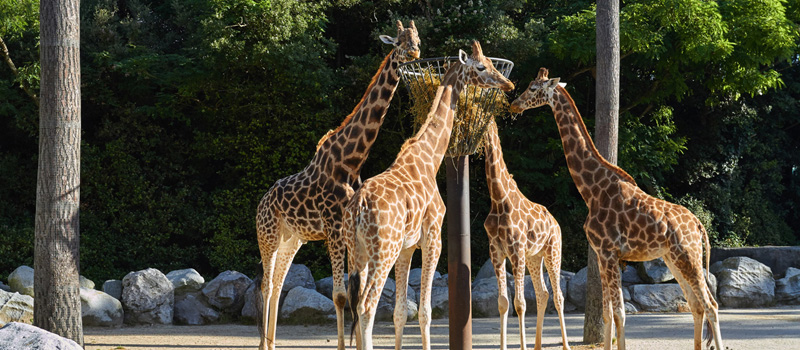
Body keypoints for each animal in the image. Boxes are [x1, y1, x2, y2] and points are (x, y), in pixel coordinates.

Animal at [256, 20, 422, 350]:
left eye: (418, 39)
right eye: (399, 41)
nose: (414, 53)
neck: (351, 160)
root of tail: (261, 203)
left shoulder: (346, 230)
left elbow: (354, 294)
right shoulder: (333, 228)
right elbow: (341, 294)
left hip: (292, 238)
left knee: (278, 283)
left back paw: (273, 342)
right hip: (266, 235)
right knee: (266, 285)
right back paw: (263, 345)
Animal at [344, 41, 512, 350]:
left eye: (491, 63)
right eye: (481, 66)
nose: (508, 83)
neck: (429, 158)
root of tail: (358, 207)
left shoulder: (407, 246)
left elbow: (400, 312)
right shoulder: (433, 237)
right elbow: (424, 311)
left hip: (357, 250)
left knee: (353, 304)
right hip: (381, 251)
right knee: (366, 306)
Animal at [478, 118, 572, 350]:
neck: (498, 199)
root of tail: (556, 223)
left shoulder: (516, 250)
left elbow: (519, 303)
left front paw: (522, 345)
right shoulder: (496, 251)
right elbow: (503, 303)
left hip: (553, 250)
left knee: (558, 296)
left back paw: (566, 345)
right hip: (534, 257)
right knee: (542, 294)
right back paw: (537, 345)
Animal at [512, 67, 724, 350]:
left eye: (534, 88)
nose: (515, 104)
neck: (592, 191)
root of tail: (699, 225)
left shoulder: (609, 252)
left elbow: (620, 313)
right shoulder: (603, 255)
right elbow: (607, 313)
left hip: (687, 256)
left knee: (711, 304)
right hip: (673, 258)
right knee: (696, 304)